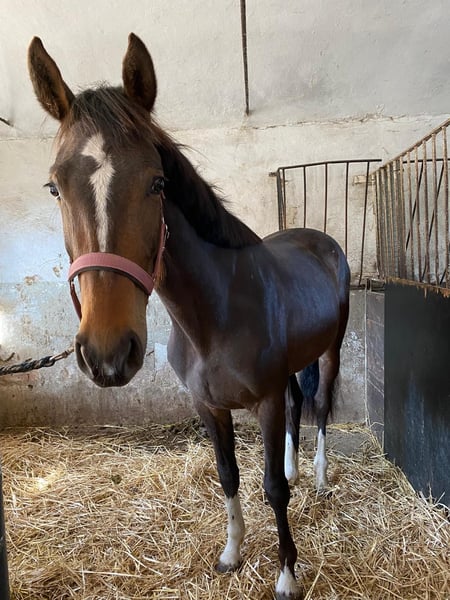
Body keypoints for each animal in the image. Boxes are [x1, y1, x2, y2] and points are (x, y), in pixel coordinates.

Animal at [28, 33, 350, 600]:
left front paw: (286, 574)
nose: (108, 353)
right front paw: (230, 554)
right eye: (54, 188)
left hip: (330, 352)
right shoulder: (208, 406)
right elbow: (228, 476)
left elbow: (273, 488)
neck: (214, 318)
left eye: (158, 183)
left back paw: (317, 477)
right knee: (298, 404)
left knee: (320, 408)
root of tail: (321, 241)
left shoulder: (263, 403)